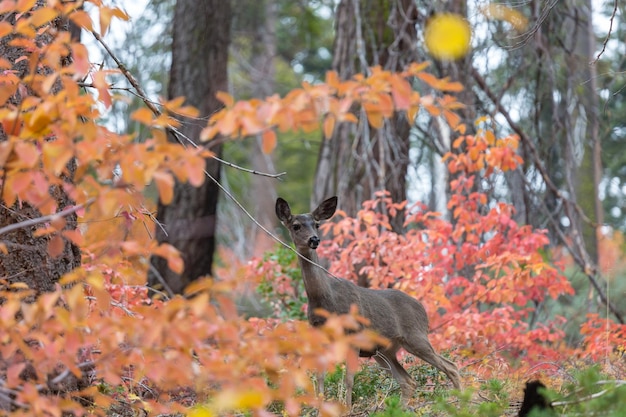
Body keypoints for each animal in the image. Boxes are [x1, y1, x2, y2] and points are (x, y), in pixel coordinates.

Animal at [276, 196, 460, 410]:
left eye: (317, 224)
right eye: (296, 226)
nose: (314, 239)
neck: (325, 299)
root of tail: (423, 309)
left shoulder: (353, 335)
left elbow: (349, 379)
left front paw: (346, 409)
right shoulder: (320, 336)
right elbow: (320, 375)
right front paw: (320, 407)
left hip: (416, 336)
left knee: (451, 367)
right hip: (384, 351)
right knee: (408, 381)